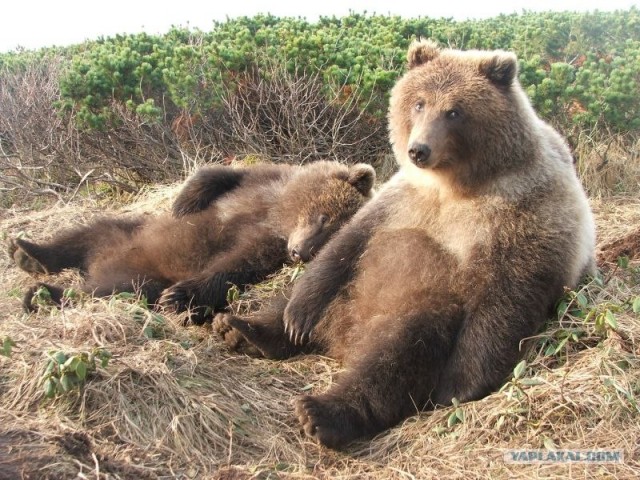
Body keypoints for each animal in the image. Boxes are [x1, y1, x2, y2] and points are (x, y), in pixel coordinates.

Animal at [8, 161, 376, 322]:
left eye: (333, 236)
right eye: (326, 217)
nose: (300, 252)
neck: (279, 215)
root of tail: (98, 264)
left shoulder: (265, 245)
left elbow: (233, 265)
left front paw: (179, 296)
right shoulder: (264, 182)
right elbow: (217, 175)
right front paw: (183, 203)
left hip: (138, 277)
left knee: (105, 290)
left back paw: (42, 294)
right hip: (126, 232)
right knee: (86, 233)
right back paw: (28, 253)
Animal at [214, 40, 596, 450]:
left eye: (454, 110)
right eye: (419, 102)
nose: (419, 149)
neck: (454, 184)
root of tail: (341, 341)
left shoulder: (522, 214)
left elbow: (506, 299)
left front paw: (458, 387)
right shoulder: (402, 199)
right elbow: (346, 245)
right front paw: (296, 316)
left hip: (406, 312)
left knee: (401, 348)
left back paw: (322, 411)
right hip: (347, 293)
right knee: (290, 298)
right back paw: (244, 328)